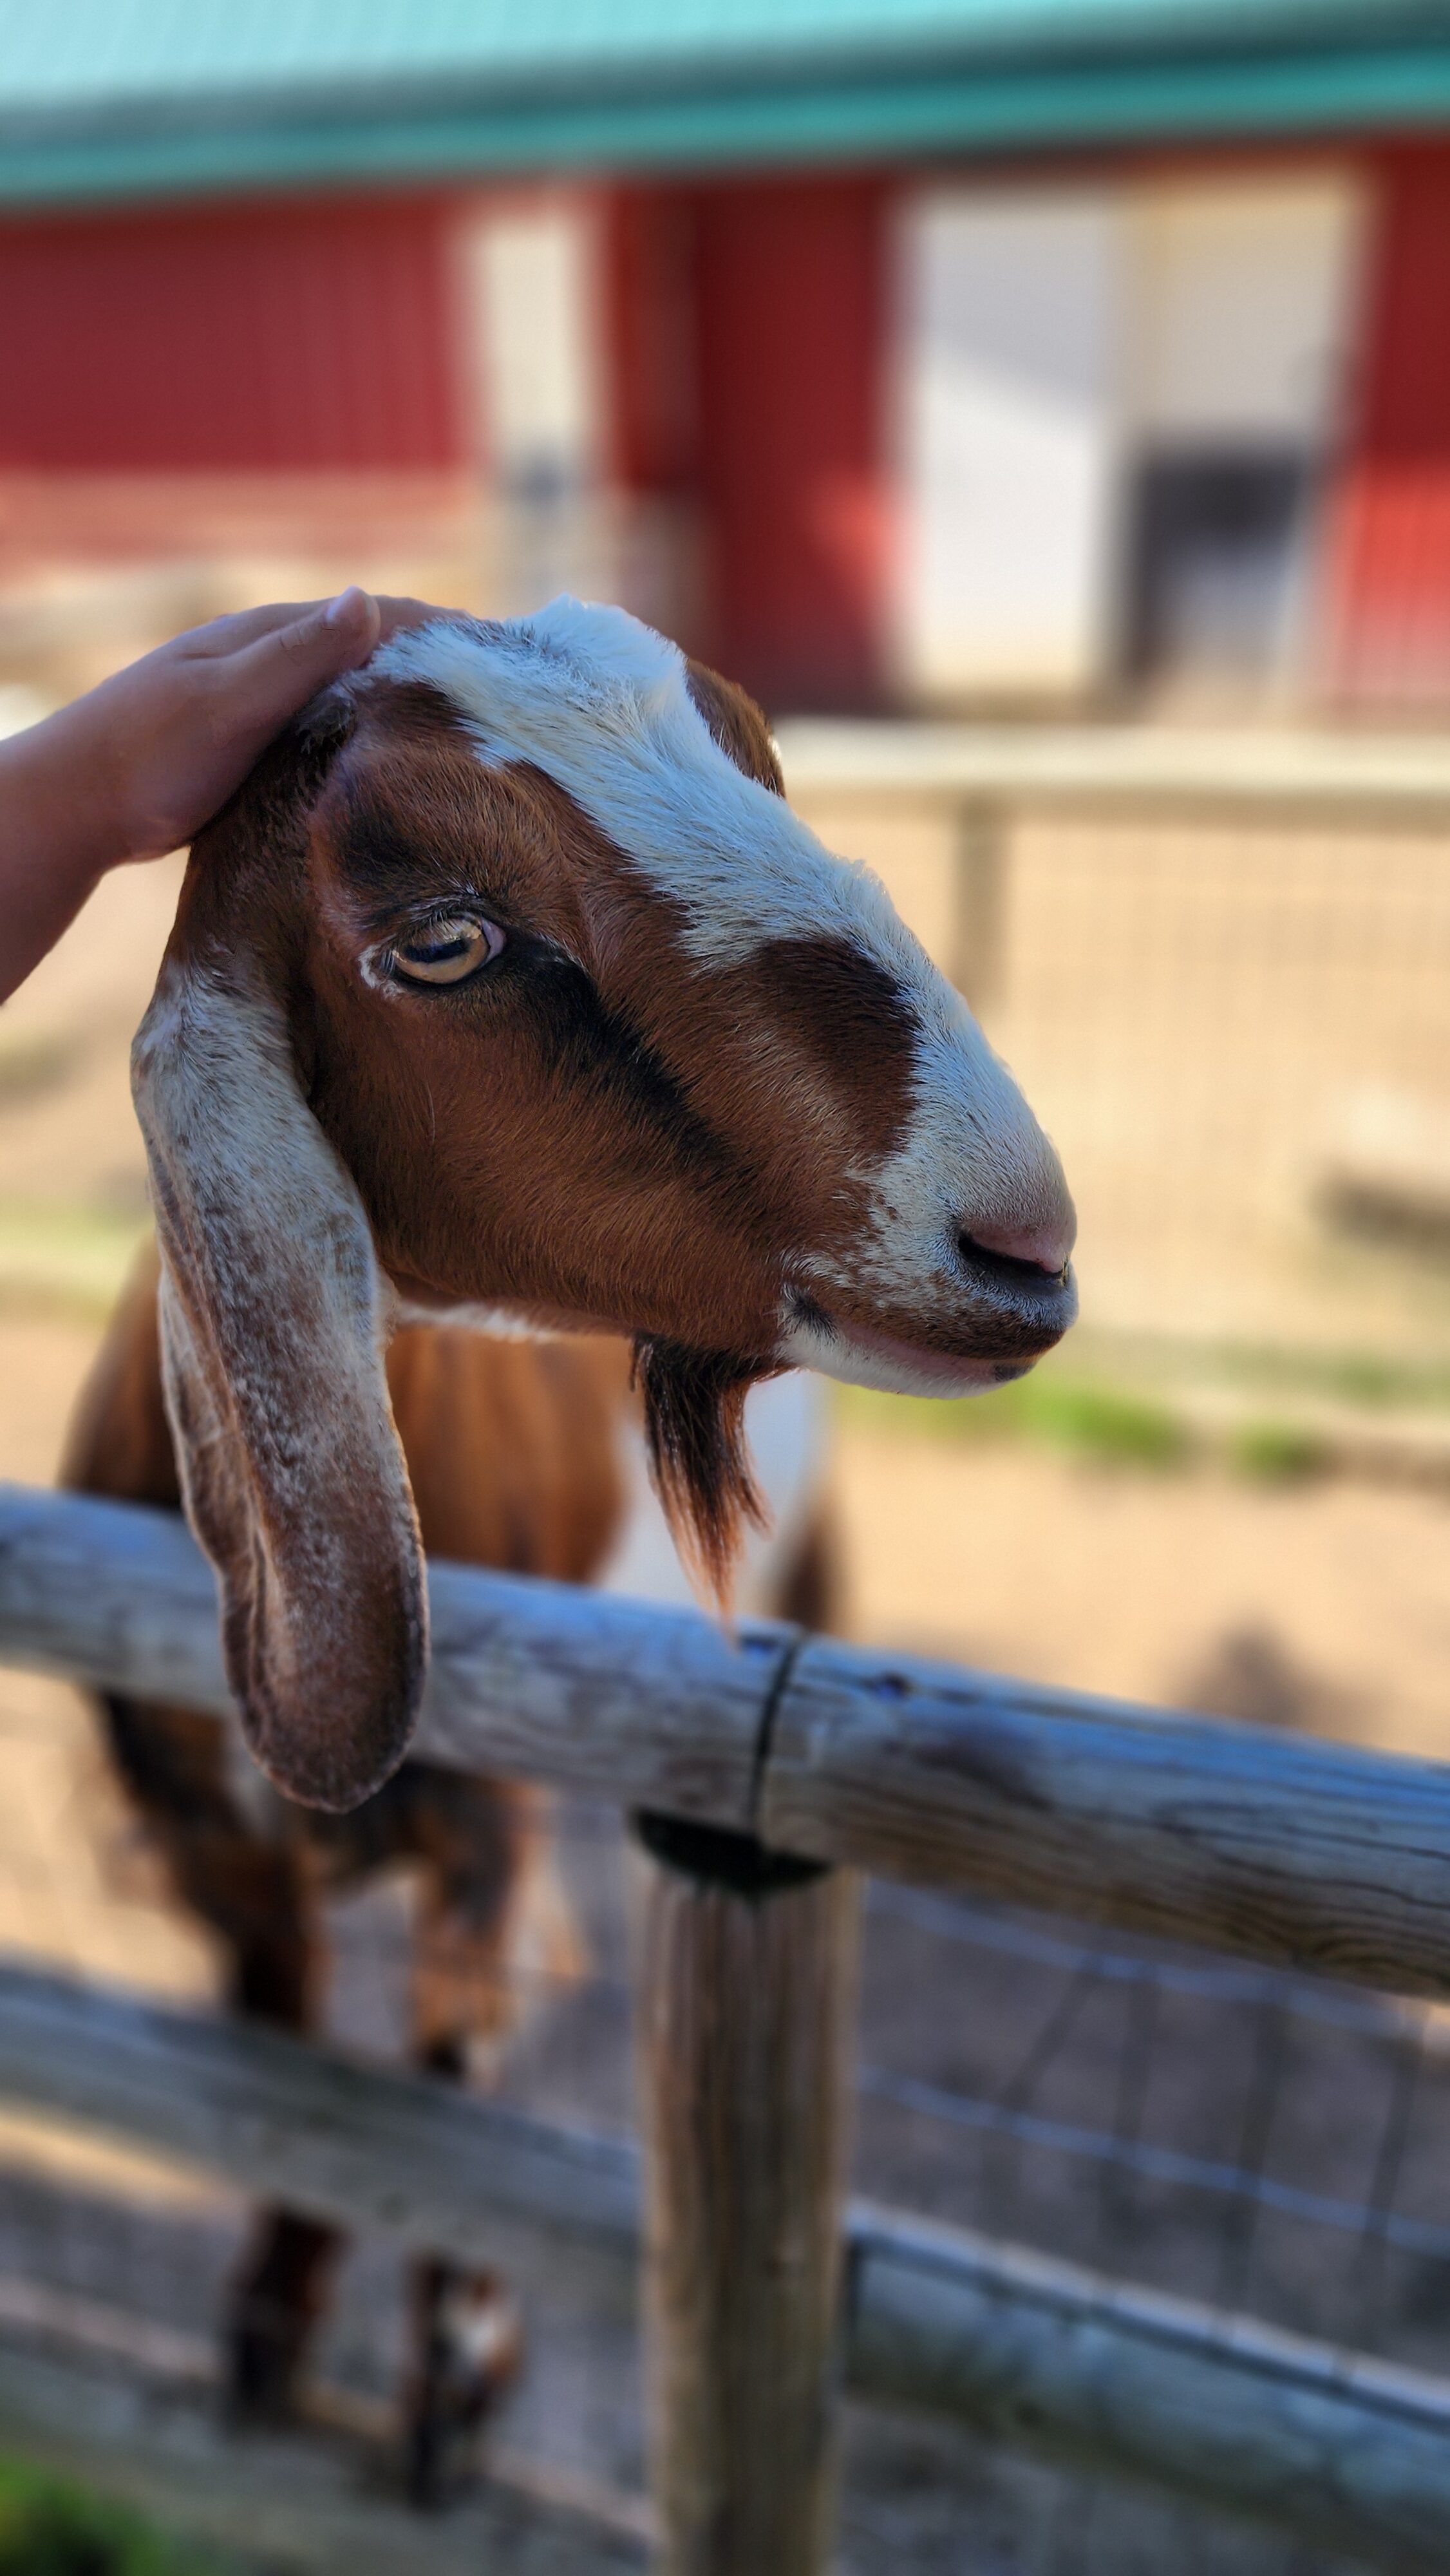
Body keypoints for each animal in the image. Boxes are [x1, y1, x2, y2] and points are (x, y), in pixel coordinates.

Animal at [59, 598, 1077, 2494]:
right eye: (444, 939)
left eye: (762, 768)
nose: (1021, 1239)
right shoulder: (224, 1855)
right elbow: (287, 2060)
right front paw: (269, 2326)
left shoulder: (479, 1831)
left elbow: (450, 2075)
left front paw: (456, 2383)